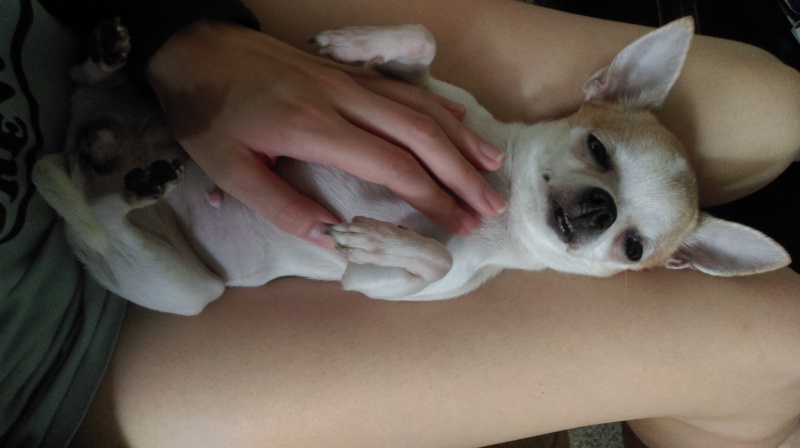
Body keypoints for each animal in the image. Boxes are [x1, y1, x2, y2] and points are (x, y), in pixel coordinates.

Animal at [32, 18, 790, 315]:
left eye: (634, 249)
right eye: (597, 148)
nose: (600, 211)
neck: (497, 197)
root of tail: (83, 145)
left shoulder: (376, 285)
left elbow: (429, 257)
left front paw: (384, 236)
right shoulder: (424, 98)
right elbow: (420, 43)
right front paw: (351, 45)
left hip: (188, 288)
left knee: (93, 208)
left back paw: (129, 182)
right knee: (78, 95)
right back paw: (103, 62)